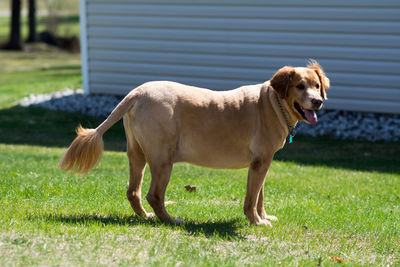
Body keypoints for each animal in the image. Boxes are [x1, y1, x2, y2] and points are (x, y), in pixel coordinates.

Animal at [57, 60, 330, 226]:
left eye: (316, 86)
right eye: (299, 86)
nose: (317, 101)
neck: (273, 103)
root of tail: (136, 93)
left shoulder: (261, 162)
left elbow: (259, 195)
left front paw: (263, 217)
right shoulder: (261, 161)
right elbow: (252, 198)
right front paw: (256, 221)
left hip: (138, 154)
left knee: (133, 192)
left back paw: (146, 217)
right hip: (162, 159)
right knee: (154, 195)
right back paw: (171, 220)